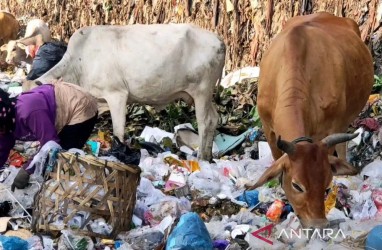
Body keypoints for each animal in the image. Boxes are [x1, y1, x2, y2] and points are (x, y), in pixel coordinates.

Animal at [34, 23, 225, 160]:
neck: (78, 64)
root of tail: (219, 40)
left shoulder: (116, 94)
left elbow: (118, 130)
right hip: (205, 95)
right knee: (214, 118)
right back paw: (208, 156)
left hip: (201, 91)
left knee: (205, 122)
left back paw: (201, 157)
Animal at [245, 12, 374, 229]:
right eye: (297, 185)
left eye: (327, 185)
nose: (318, 224)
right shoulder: (268, 129)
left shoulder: (330, 129)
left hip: (344, 120)